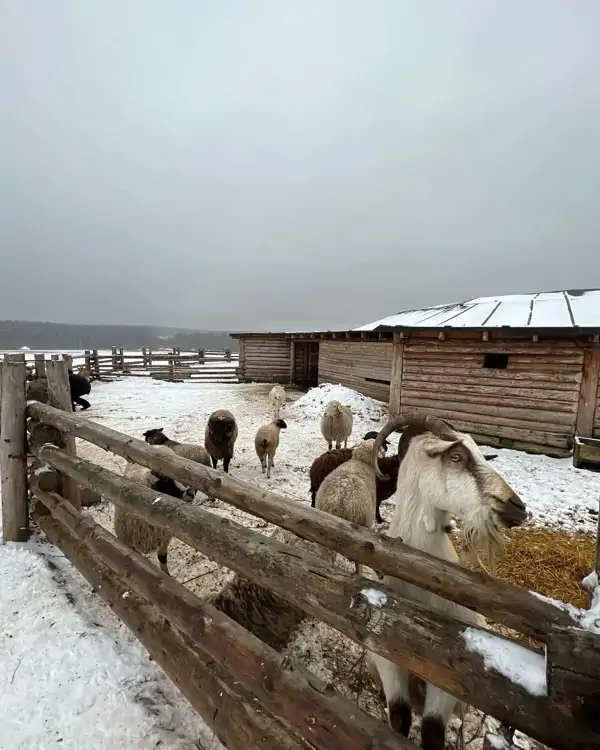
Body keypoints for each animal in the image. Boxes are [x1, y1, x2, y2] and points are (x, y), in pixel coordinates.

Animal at [368, 413, 527, 750]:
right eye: (456, 457)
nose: (517, 508)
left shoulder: (446, 682)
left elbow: (432, 733)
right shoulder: (388, 664)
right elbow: (398, 718)